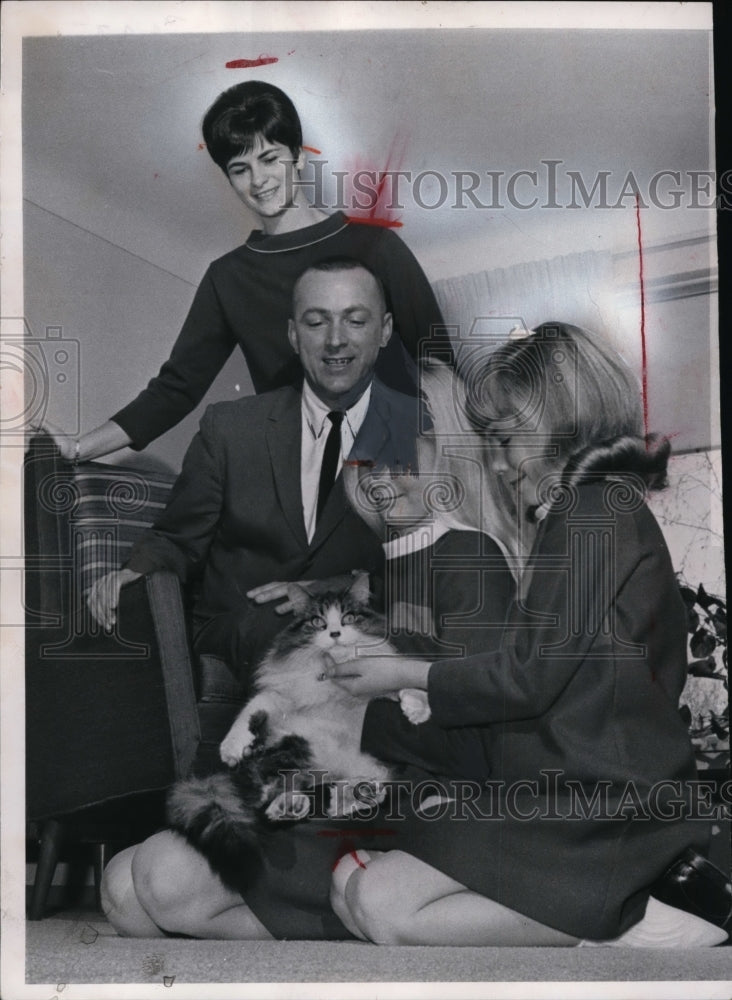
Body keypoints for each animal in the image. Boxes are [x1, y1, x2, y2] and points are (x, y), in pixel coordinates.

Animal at [168, 572, 426, 892]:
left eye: (349, 617)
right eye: (317, 622)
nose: (335, 633)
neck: (332, 681)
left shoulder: (381, 683)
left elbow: (405, 684)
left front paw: (418, 710)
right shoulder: (280, 695)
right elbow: (252, 706)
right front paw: (233, 746)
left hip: (347, 766)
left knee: (334, 793)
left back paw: (350, 797)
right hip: (291, 749)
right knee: (264, 796)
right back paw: (284, 794)